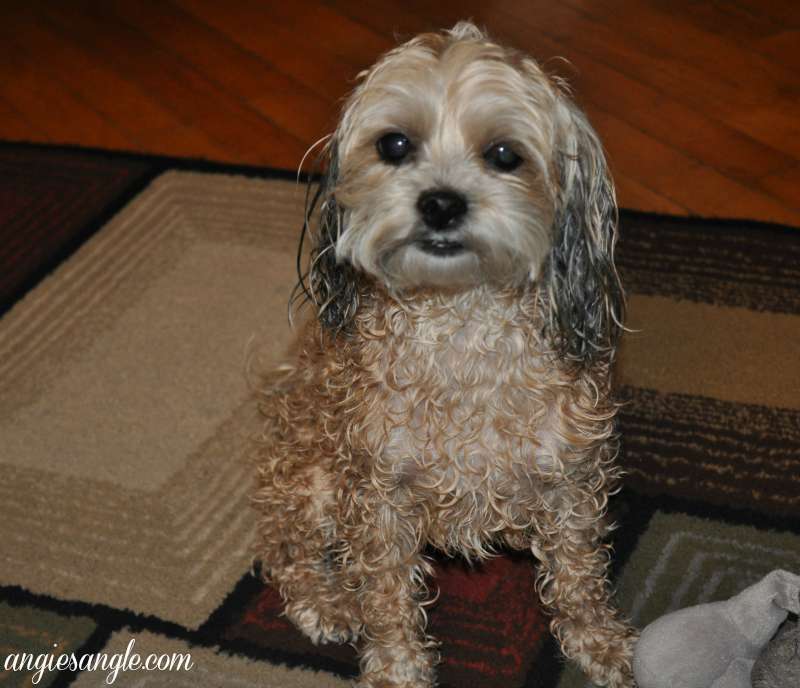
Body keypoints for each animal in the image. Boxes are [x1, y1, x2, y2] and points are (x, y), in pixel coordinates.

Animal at [255, 21, 636, 688]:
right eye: (395, 144)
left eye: (505, 155)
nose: (440, 203)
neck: (462, 329)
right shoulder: (377, 490)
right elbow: (386, 592)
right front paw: (396, 668)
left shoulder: (570, 480)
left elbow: (578, 574)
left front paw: (597, 640)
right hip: (313, 479)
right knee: (286, 549)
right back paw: (326, 600)